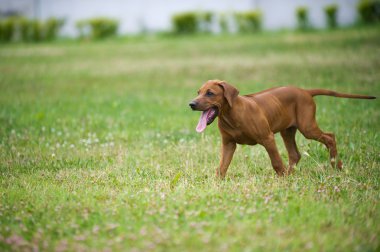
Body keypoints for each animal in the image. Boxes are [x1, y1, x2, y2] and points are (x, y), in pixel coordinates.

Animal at [189, 80, 376, 177]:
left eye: (210, 93)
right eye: (198, 92)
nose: (191, 104)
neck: (232, 114)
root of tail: (305, 91)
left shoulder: (268, 138)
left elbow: (276, 162)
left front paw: (282, 178)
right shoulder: (228, 144)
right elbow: (222, 167)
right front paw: (217, 183)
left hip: (307, 127)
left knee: (330, 137)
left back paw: (336, 165)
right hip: (288, 130)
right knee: (295, 154)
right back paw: (293, 173)